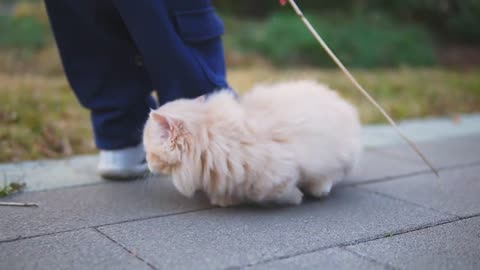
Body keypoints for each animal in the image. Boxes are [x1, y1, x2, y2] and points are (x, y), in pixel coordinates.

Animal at [142, 80, 360, 207]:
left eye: (149, 153)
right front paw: (223, 200)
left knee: (328, 176)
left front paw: (295, 198)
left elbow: (272, 192)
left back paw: (318, 190)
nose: (147, 164)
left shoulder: (278, 172)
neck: (207, 133)